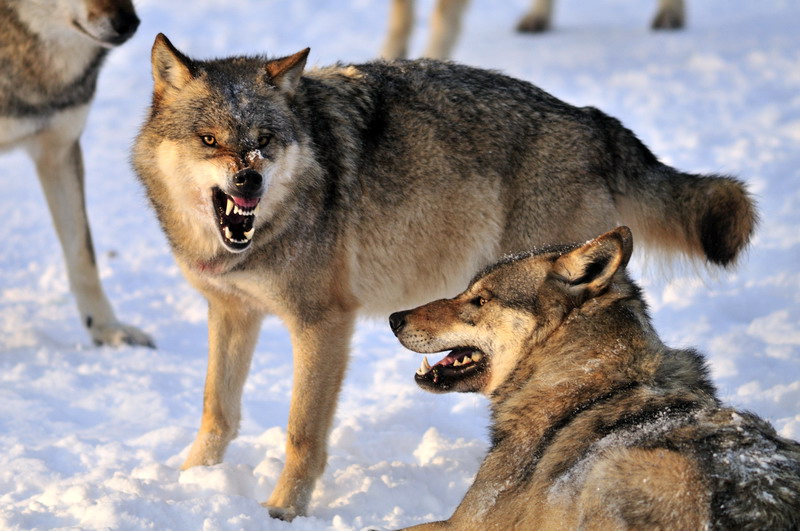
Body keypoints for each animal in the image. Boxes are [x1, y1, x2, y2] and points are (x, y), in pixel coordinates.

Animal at [133, 34, 755, 519]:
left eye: (263, 141)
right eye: (209, 140)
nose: (248, 181)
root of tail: (597, 123)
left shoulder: (322, 324)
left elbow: (301, 432)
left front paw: (282, 511)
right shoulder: (230, 311)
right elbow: (217, 410)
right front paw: (191, 481)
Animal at [389, 226, 799, 530]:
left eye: (480, 300)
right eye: (466, 291)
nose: (394, 318)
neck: (582, 376)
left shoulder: (466, 522)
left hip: (615, 471)